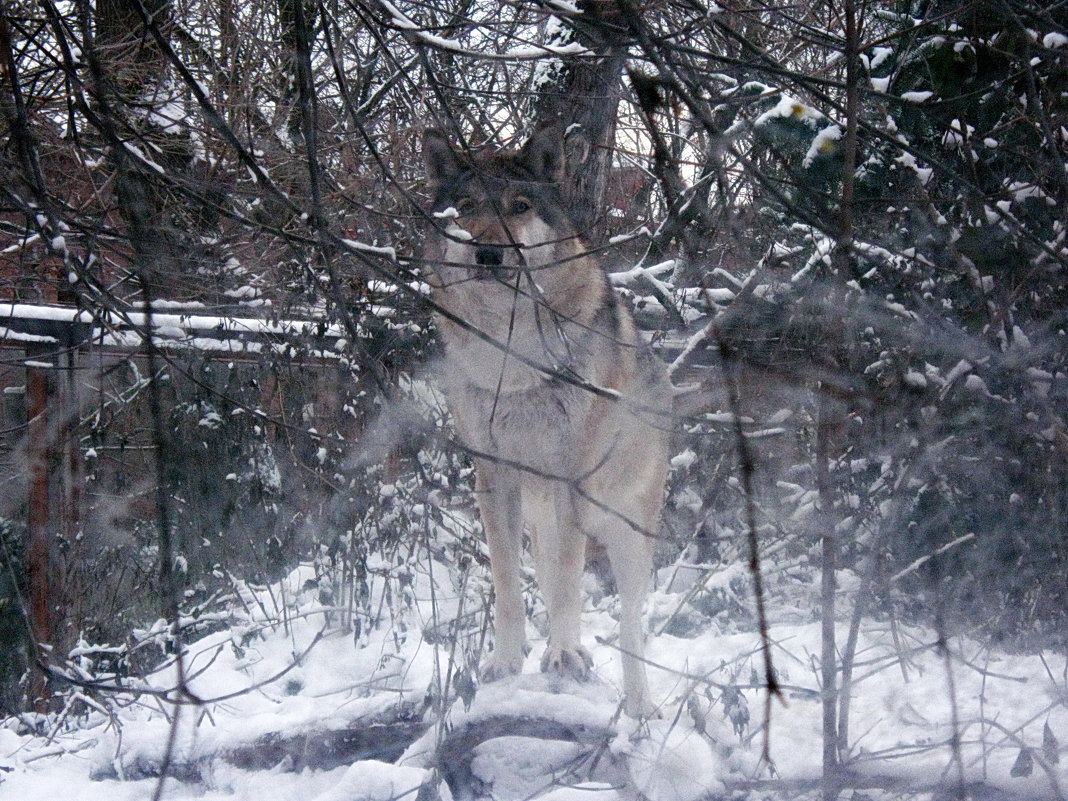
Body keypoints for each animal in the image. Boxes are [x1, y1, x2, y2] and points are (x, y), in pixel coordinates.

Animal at [422, 125, 666, 721]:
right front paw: (507, 662)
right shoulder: (494, 482)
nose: (489, 252)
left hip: (626, 536)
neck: (511, 351)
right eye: (466, 207)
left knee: (630, 625)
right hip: (541, 518)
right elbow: (509, 585)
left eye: (520, 206)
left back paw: (639, 705)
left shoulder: (570, 481)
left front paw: (562, 654)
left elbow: (570, 586)